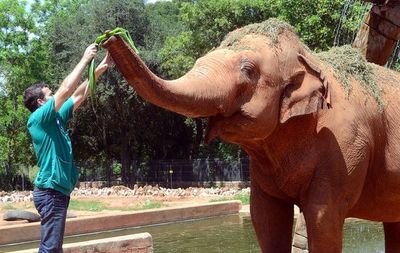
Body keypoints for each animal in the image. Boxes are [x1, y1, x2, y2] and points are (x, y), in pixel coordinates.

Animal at [104, 18, 400, 253]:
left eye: (248, 70)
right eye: (199, 60)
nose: (109, 37)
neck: (310, 58)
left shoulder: (345, 148)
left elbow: (323, 220)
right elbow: (265, 217)